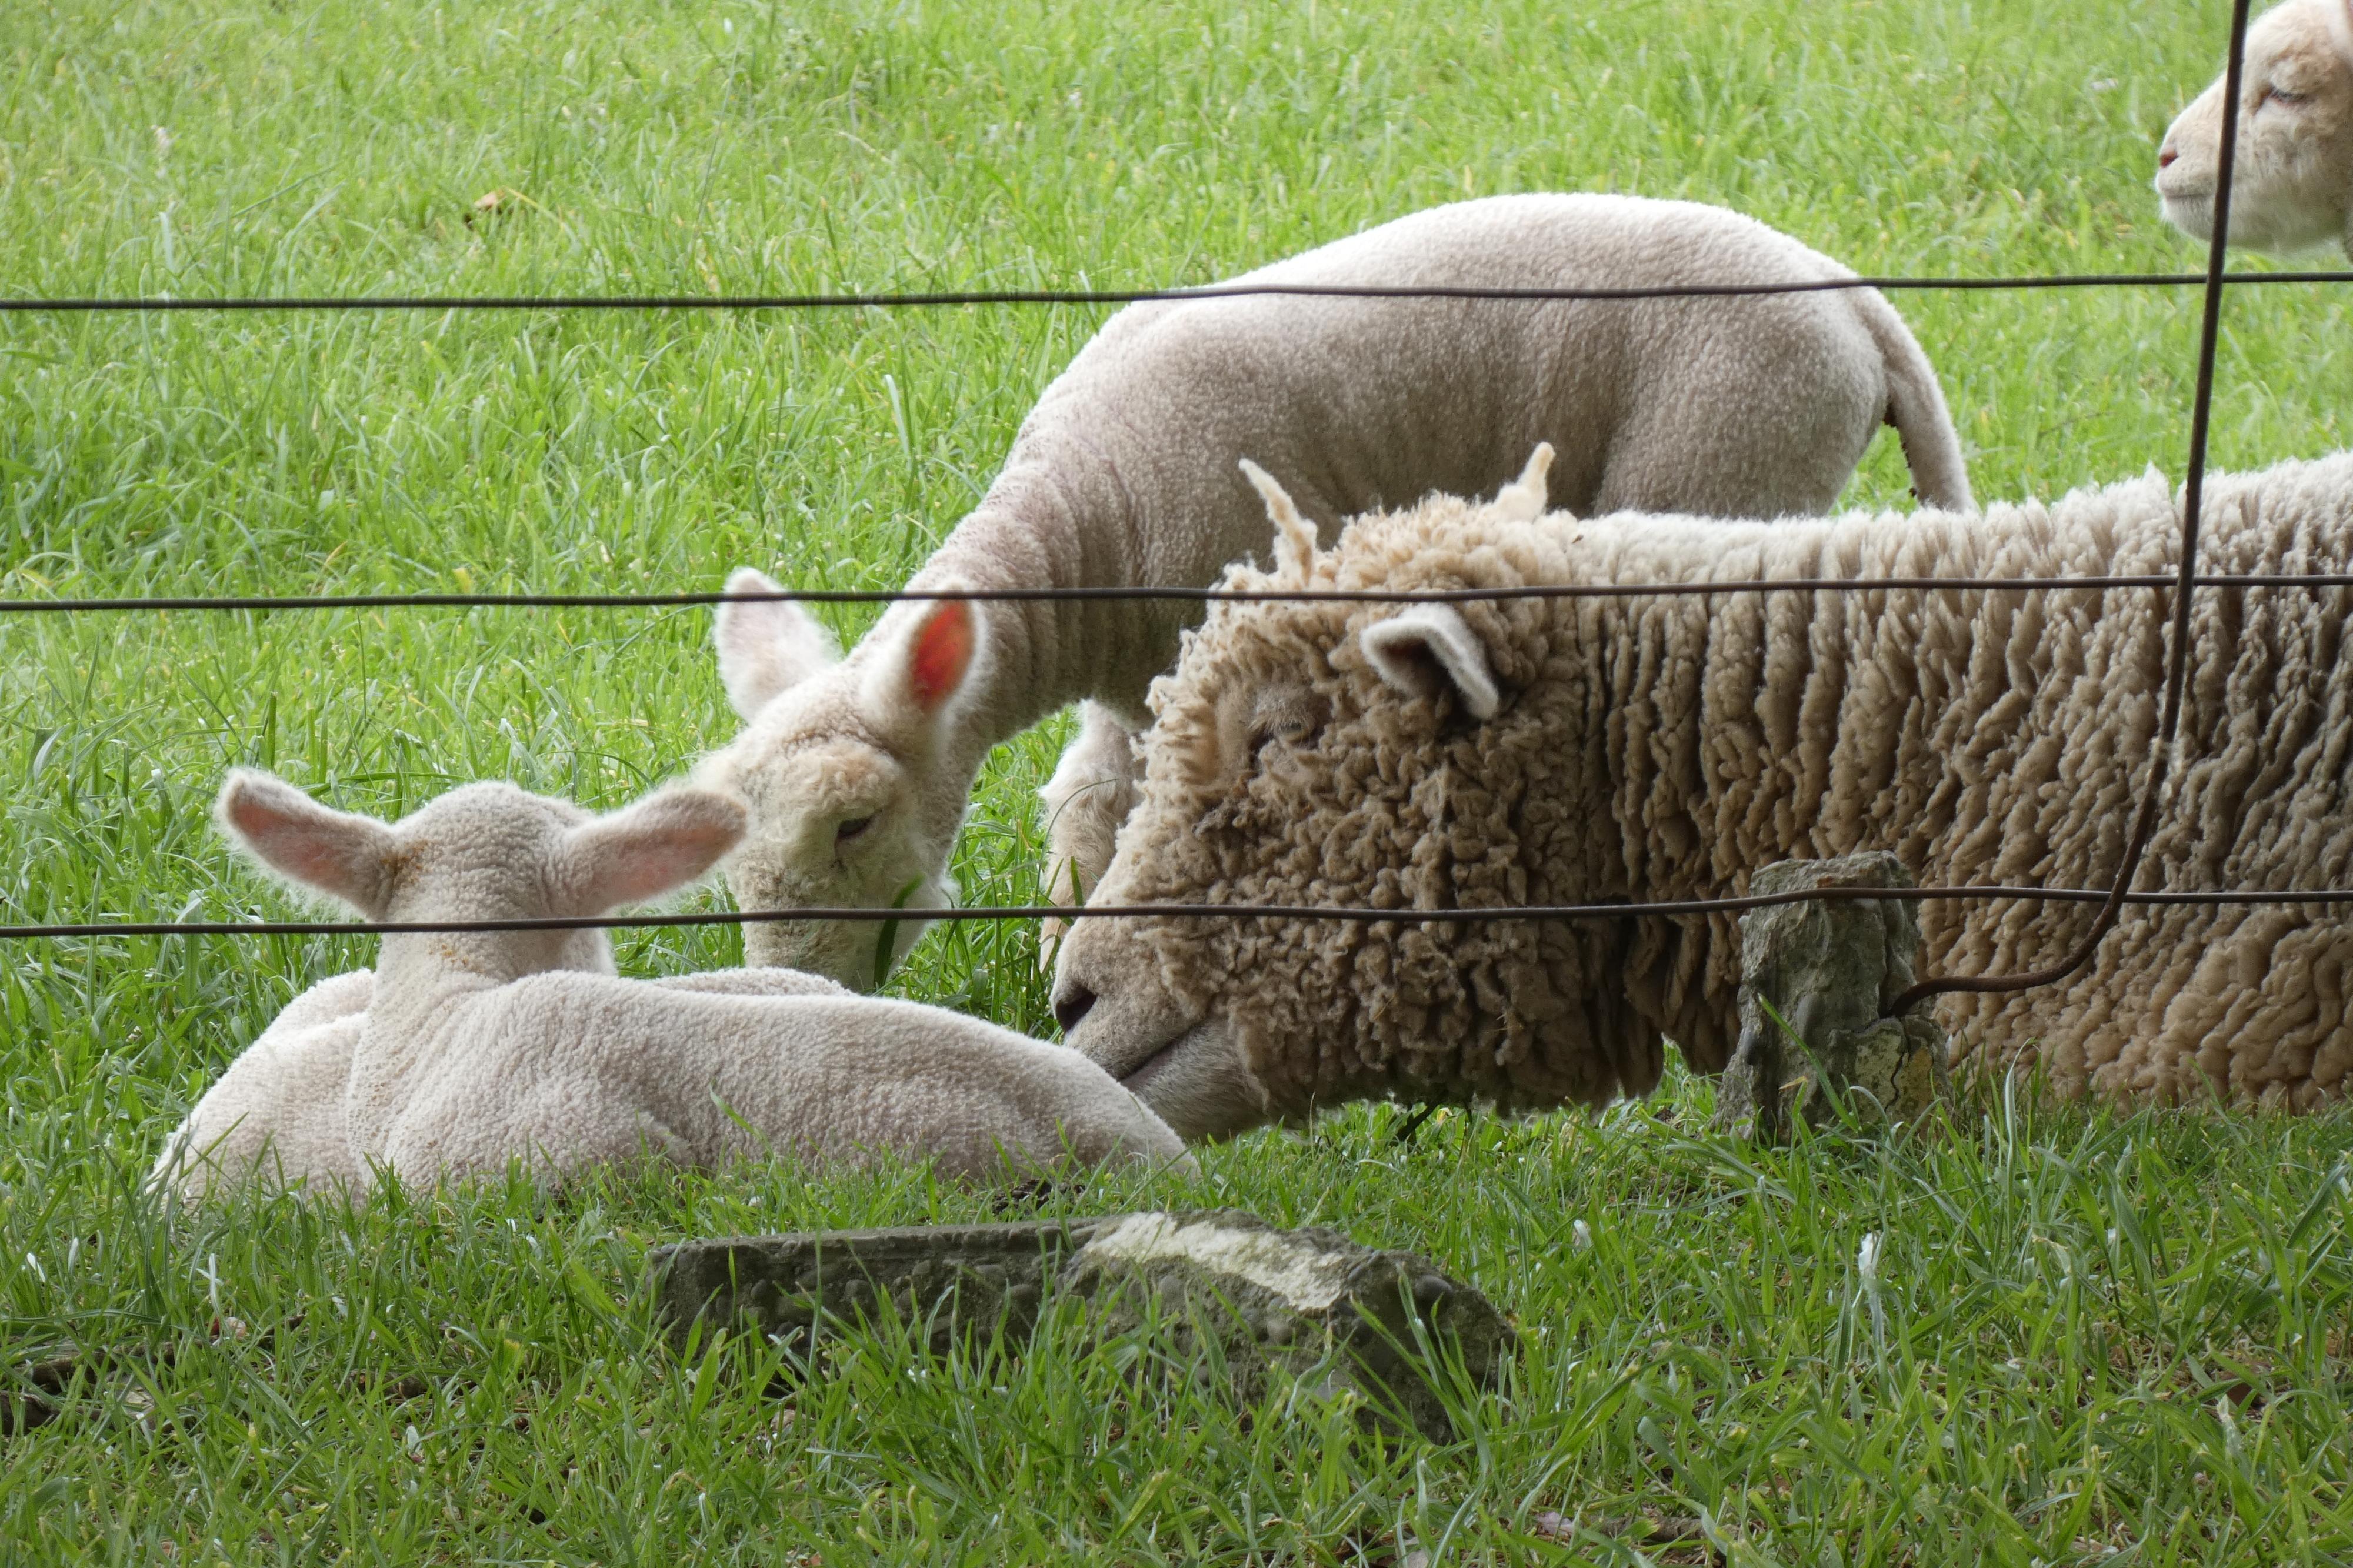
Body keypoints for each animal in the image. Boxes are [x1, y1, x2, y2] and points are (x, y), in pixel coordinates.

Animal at [702, 192, 1976, 991]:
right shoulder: (1134, 675)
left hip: (1727, 456)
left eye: (853, 824)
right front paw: (1060, 952)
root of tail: (1854, 302)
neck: (1076, 532)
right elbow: (1091, 801)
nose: (794, 993)